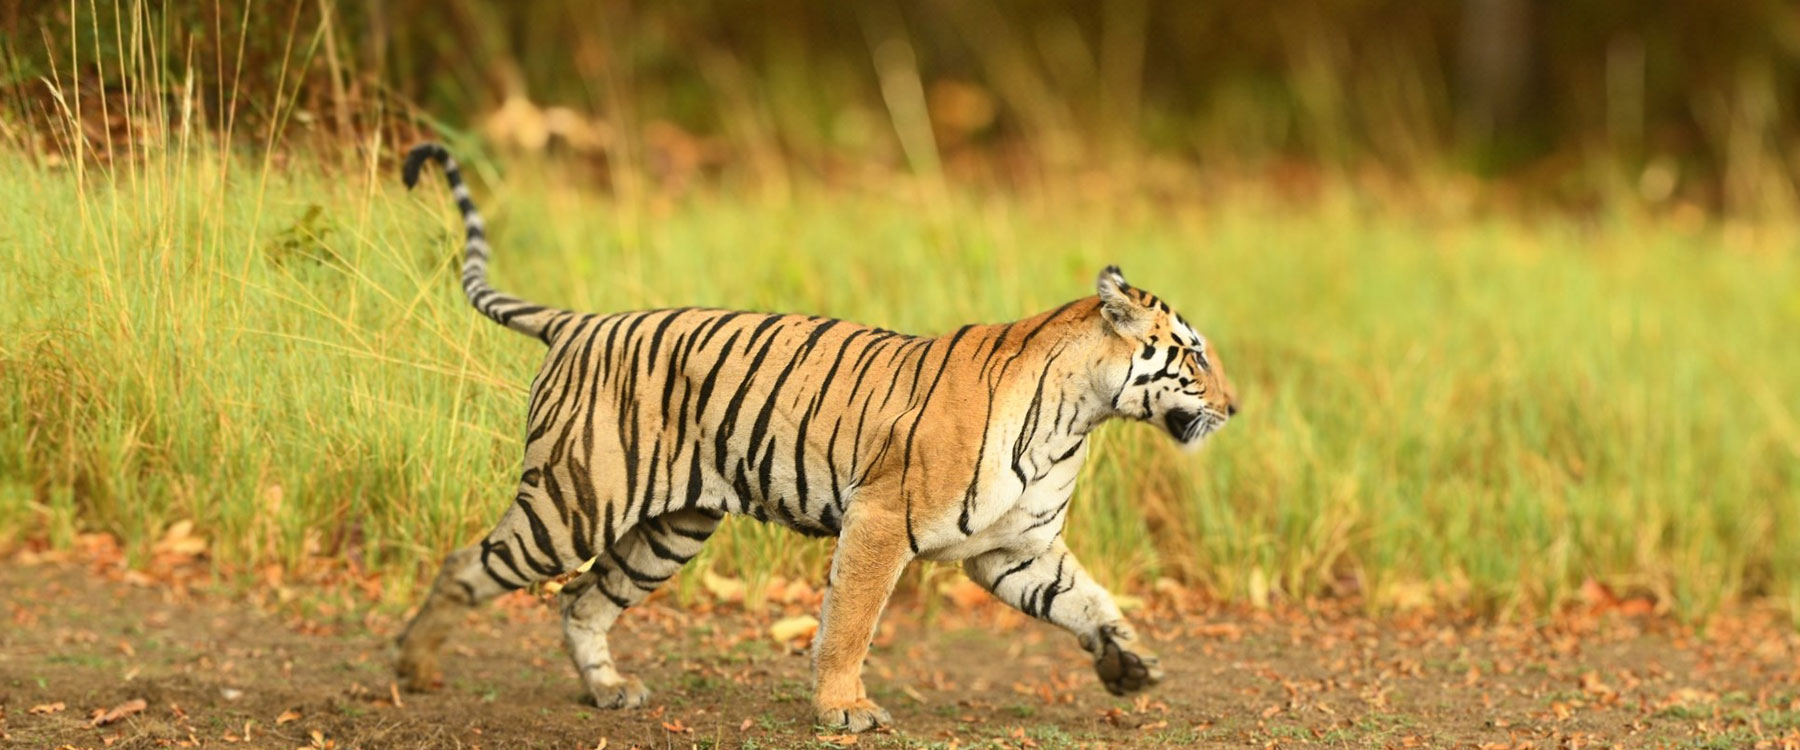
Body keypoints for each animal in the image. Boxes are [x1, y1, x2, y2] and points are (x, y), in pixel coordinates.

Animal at [392, 142, 1238, 730]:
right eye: (1194, 354)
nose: (1234, 408)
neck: (1079, 418)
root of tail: (579, 321)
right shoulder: (881, 519)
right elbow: (851, 623)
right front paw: (844, 709)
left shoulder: (1015, 547)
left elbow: (1086, 600)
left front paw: (1131, 666)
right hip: (574, 503)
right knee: (468, 564)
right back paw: (414, 669)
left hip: (668, 528)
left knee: (582, 599)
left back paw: (607, 689)